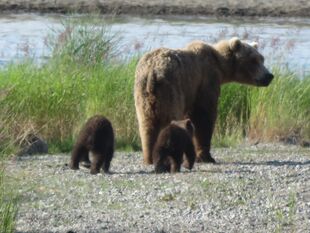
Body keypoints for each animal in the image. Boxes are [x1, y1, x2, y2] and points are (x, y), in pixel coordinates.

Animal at [135, 36, 274, 164]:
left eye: (262, 59)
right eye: (253, 60)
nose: (269, 76)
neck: (220, 66)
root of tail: (152, 73)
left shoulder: (192, 92)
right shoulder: (205, 80)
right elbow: (204, 117)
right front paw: (206, 157)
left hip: (143, 94)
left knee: (146, 125)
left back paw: (149, 158)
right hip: (171, 90)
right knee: (169, 118)